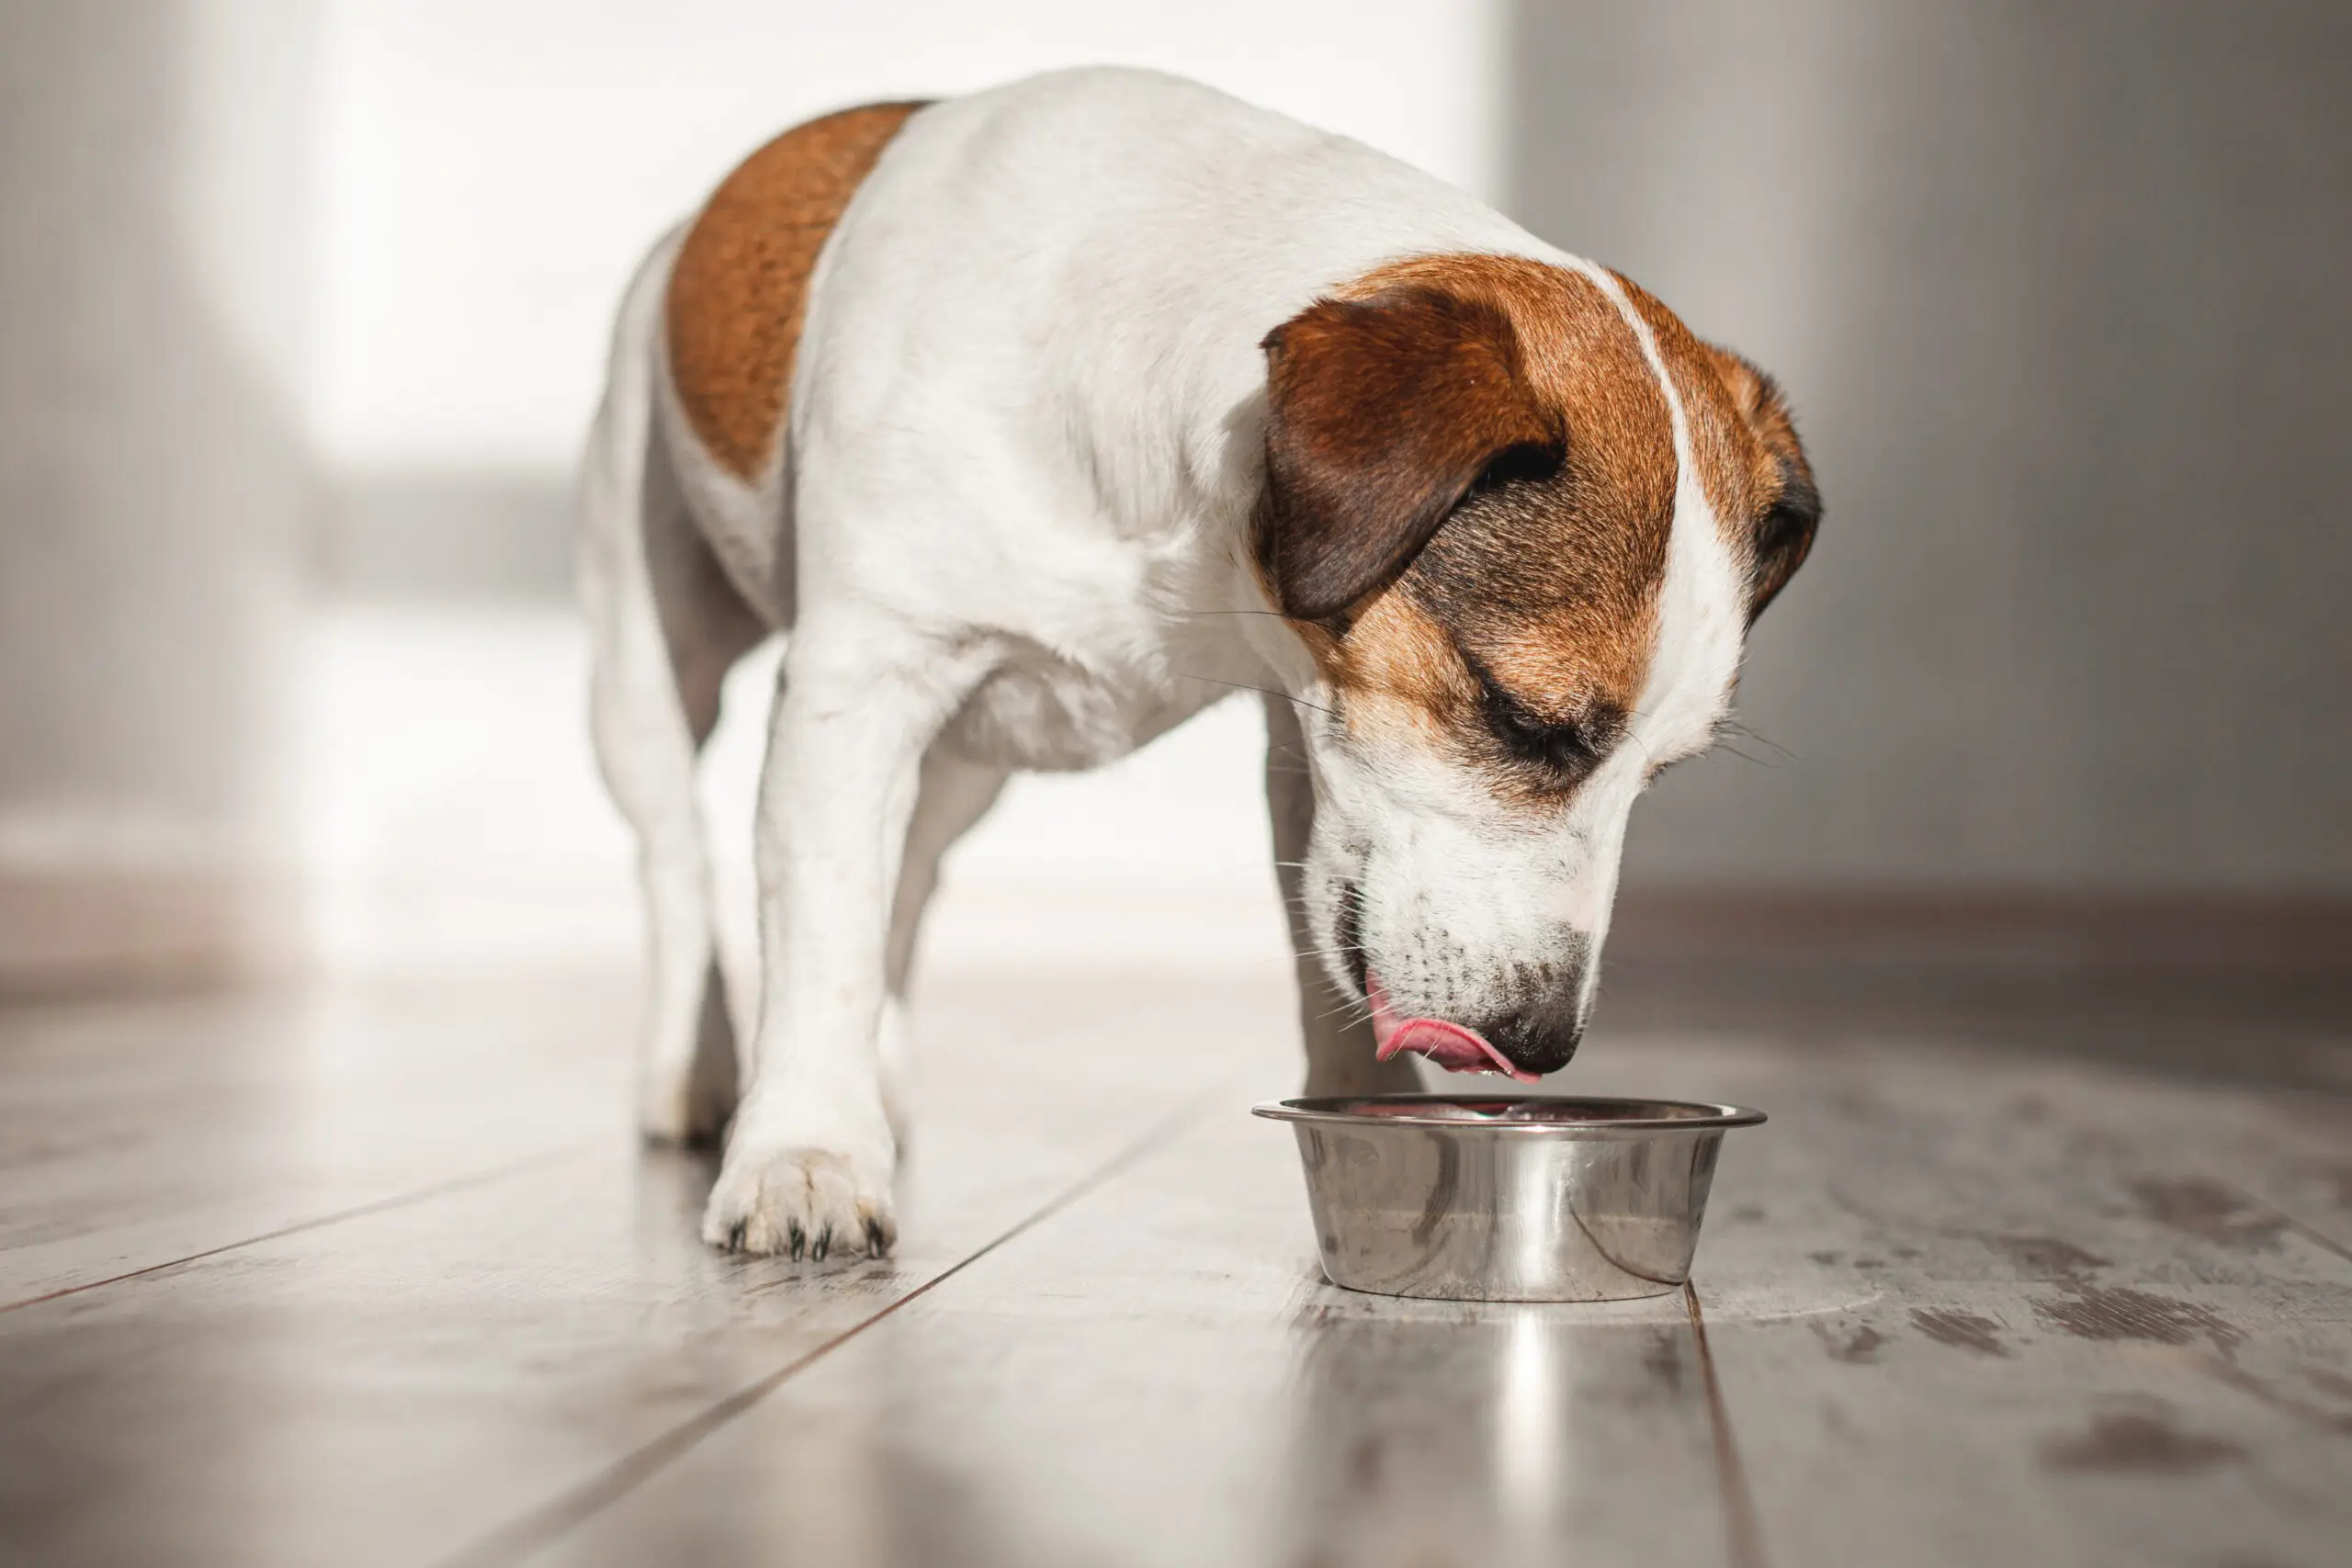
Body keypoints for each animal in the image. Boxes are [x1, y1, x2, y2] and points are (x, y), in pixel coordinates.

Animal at [582, 67, 1815, 1259]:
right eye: (1520, 720)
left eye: (1662, 775)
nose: (1540, 1042)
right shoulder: (858, 686)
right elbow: (820, 927)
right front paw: (806, 1154)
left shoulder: (1303, 730)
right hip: (649, 662)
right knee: (677, 854)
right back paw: (692, 1072)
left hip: (969, 764)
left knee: (912, 869)